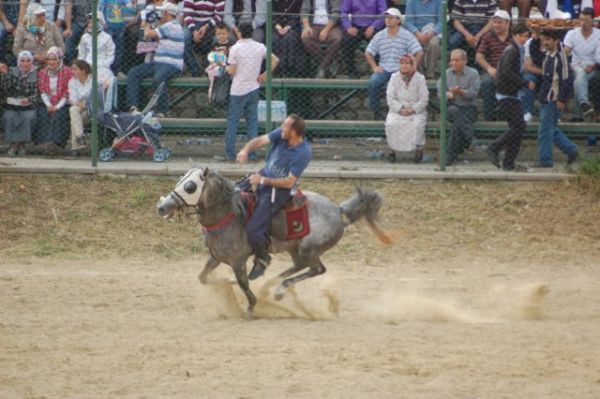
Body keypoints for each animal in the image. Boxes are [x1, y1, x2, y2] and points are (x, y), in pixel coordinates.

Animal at [157, 167, 392, 318]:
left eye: (190, 186)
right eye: (179, 181)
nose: (162, 207)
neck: (228, 214)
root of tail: (338, 210)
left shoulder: (238, 260)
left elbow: (243, 283)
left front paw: (250, 307)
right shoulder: (216, 257)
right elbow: (204, 278)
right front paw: (229, 284)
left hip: (308, 249)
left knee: (317, 269)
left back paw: (278, 290)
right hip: (295, 249)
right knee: (302, 266)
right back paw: (272, 286)